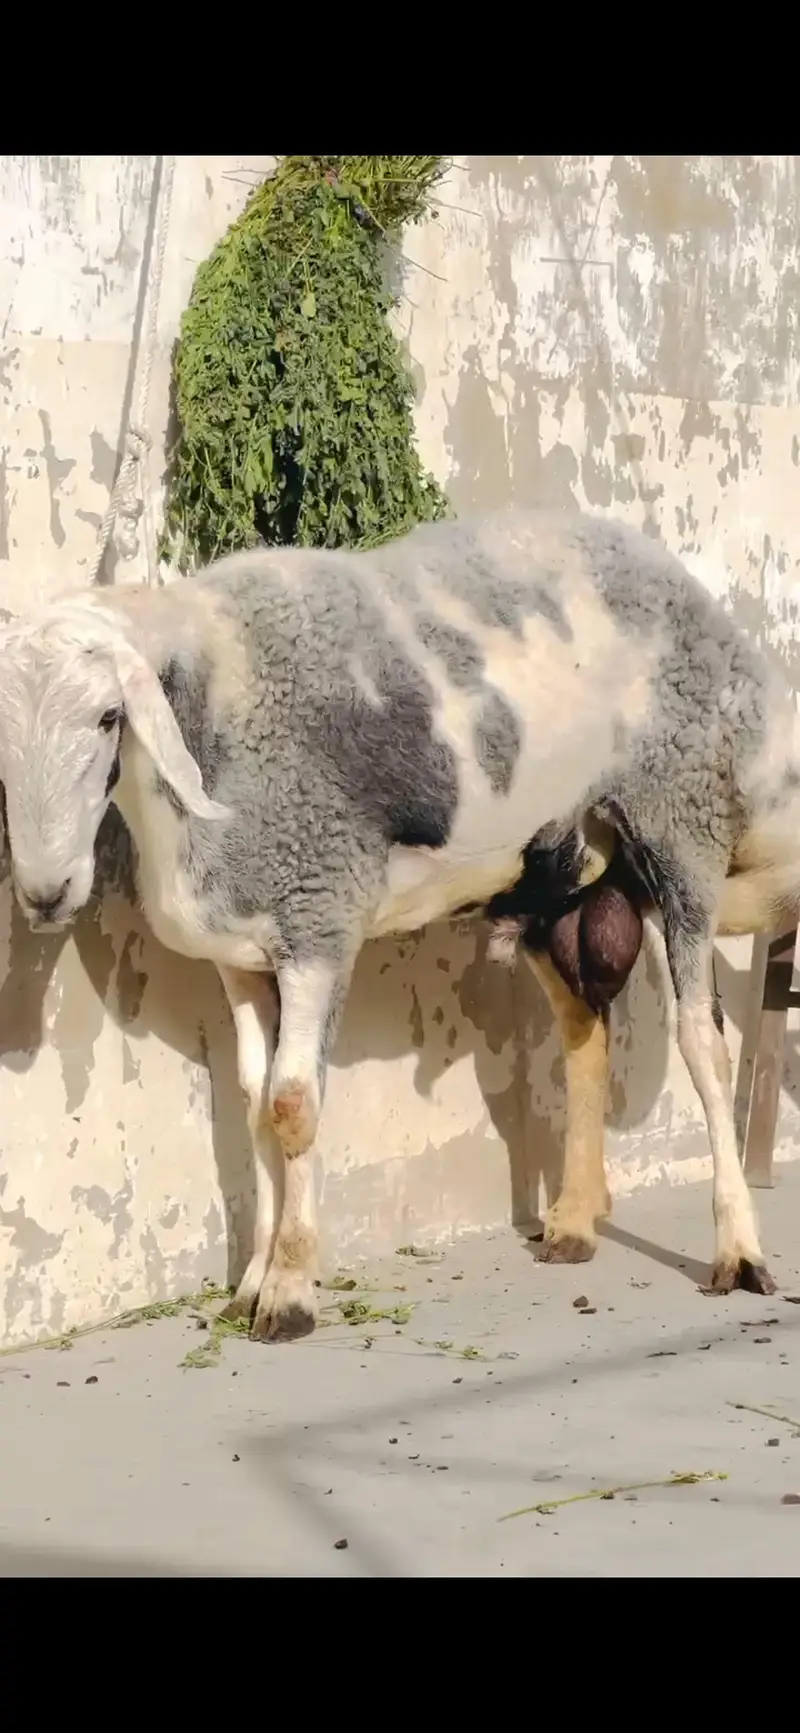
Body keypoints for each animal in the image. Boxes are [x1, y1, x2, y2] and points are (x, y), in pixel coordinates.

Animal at [0, 506, 795, 1339]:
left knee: (704, 1041)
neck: (211, 717)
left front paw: (290, 1290)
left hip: (681, 823)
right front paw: (250, 1283)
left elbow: (292, 1104)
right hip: (555, 875)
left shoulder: (319, 918)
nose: (45, 893)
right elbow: (252, 1103)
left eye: (108, 716)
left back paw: (738, 1250)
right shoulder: (241, 956)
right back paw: (575, 1222)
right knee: (583, 1029)